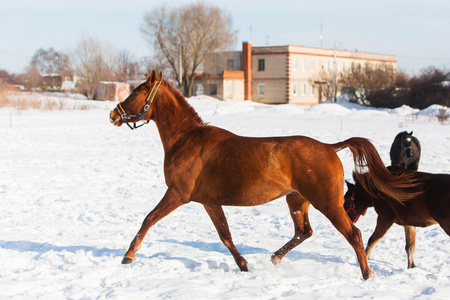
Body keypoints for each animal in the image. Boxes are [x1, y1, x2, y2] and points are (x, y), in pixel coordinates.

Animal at [109, 69, 418, 278]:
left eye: (135, 92)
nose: (113, 114)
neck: (187, 140)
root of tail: (329, 147)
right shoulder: (209, 201)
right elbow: (226, 235)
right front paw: (244, 265)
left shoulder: (177, 194)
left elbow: (149, 219)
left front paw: (128, 255)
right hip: (296, 200)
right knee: (304, 232)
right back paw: (274, 258)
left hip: (327, 203)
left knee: (353, 234)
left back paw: (367, 274)